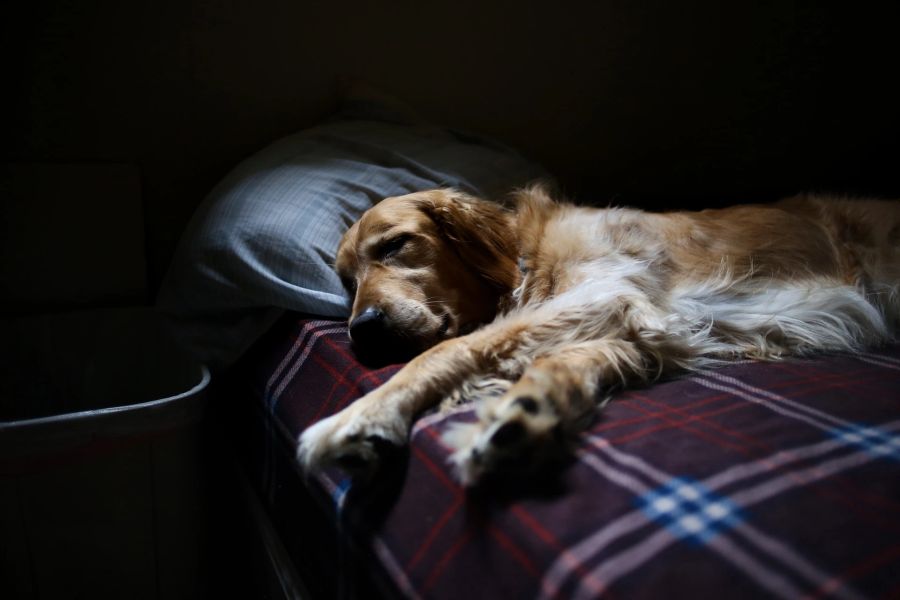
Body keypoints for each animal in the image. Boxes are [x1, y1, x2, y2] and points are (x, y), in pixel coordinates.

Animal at [298, 185, 900, 486]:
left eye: (395, 245)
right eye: (346, 281)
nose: (361, 331)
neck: (528, 260)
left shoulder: (609, 291)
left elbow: (451, 348)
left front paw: (360, 417)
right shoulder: (639, 329)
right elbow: (559, 363)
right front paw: (527, 412)